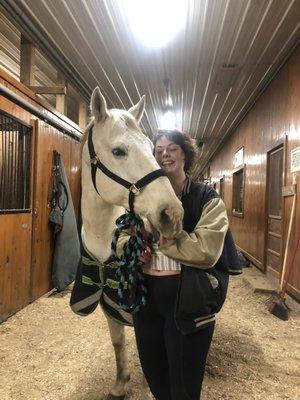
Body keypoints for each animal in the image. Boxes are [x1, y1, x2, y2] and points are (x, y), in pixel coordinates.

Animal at [79, 86, 183, 400]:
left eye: (152, 149)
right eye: (118, 151)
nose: (172, 213)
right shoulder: (109, 305)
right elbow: (118, 342)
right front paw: (119, 384)